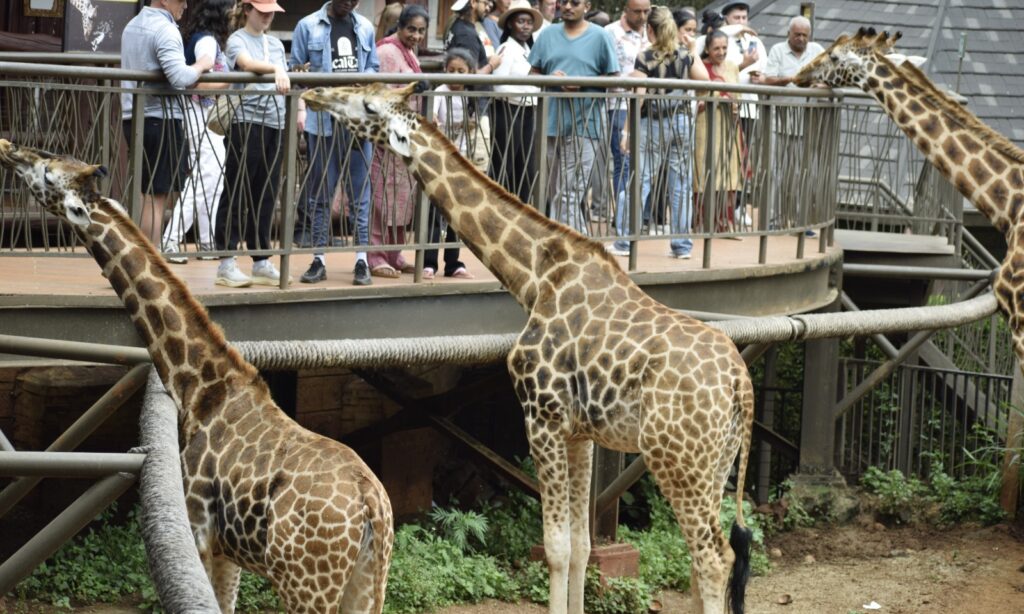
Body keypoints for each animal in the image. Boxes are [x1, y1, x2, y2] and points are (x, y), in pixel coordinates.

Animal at [0, 139, 393, 614]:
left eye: (47, 174)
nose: (8, 148)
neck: (199, 387)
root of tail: (372, 508)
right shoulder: (227, 552)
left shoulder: (199, 531)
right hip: (368, 582)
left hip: (306, 585)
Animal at [301, 83, 755, 614]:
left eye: (368, 107)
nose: (315, 93)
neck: (534, 277)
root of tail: (741, 385)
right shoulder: (580, 434)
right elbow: (581, 546)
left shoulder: (542, 417)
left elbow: (555, 547)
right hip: (715, 462)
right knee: (709, 558)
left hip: (677, 460)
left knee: (714, 558)